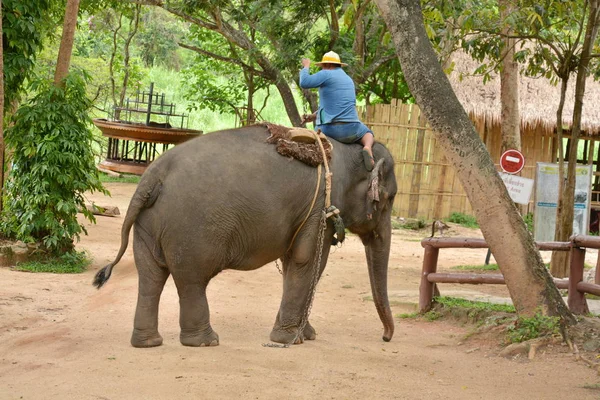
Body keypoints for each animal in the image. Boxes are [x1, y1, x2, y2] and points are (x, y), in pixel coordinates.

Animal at [94, 125, 398, 346]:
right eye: (388, 199)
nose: (385, 338)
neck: (347, 152)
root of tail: (152, 175)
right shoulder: (320, 205)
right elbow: (308, 261)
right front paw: (291, 339)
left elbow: (293, 263)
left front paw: (305, 334)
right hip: (190, 229)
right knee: (192, 280)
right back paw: (206, 342)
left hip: (147, 224)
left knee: (151, 277)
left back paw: (148, 342)